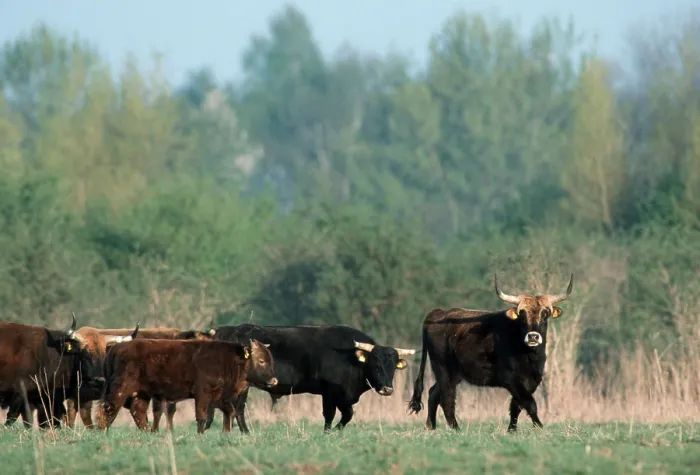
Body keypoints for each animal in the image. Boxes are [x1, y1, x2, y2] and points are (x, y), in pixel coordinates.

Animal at [0, 315, 136, 429]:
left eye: (103, 354)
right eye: (85, 354)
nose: (99, 380)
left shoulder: (48, 399)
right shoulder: (21, 394)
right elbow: (12, 417)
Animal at [96, 338, 277, 434]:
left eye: (270, 359)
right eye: (261, 360)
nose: (274, 381)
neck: (231, 360)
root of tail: (115, 348)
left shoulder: (219, 397)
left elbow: (229, 412)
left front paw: (226, 432)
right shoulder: (203, 394)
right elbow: (202, 416)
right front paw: (201, 434)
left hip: (142, 393)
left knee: (138, 411)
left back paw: (148, 432)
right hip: (120, 388)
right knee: (109, 408)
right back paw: (103, 431)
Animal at [206, 324, 416, 433]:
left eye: (393, 367)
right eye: (375, 364)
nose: (388, 389)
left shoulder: (340, 396)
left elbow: (346, 414)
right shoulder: (331, 392)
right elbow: (334, 414)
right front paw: (329, 432)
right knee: (237, 408)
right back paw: (244, 432)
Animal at [407, 274, 574, 432]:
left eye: (545, 314)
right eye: (522, 314)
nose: (533, 336)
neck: (528, 355)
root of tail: (438, 313)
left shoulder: (533, 379)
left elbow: (517, 406)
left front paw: (512, 430)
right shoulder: (510, 378)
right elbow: (529, 403)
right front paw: (539, 427)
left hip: (454, 374)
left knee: (434, 393)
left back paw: (431, 426)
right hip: (443, 369)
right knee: (446, 398)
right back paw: (456, 429)